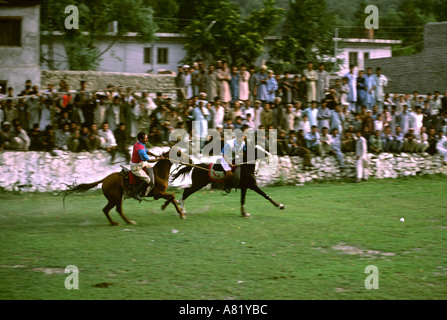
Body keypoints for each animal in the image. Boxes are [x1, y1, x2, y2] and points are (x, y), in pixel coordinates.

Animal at [61, 148, 191, 225]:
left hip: (116, 198)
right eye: (179, 153)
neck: (159, 173)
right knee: (108, 209)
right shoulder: (157, 194)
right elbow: (172, 197)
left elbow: (172, 197)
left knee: (115, 210)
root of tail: (105, 179)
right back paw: (118, 222)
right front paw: (179, 213)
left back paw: (126, 222)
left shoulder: (160, 194)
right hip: (115, 198)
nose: (190, 159)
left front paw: (174, 210)